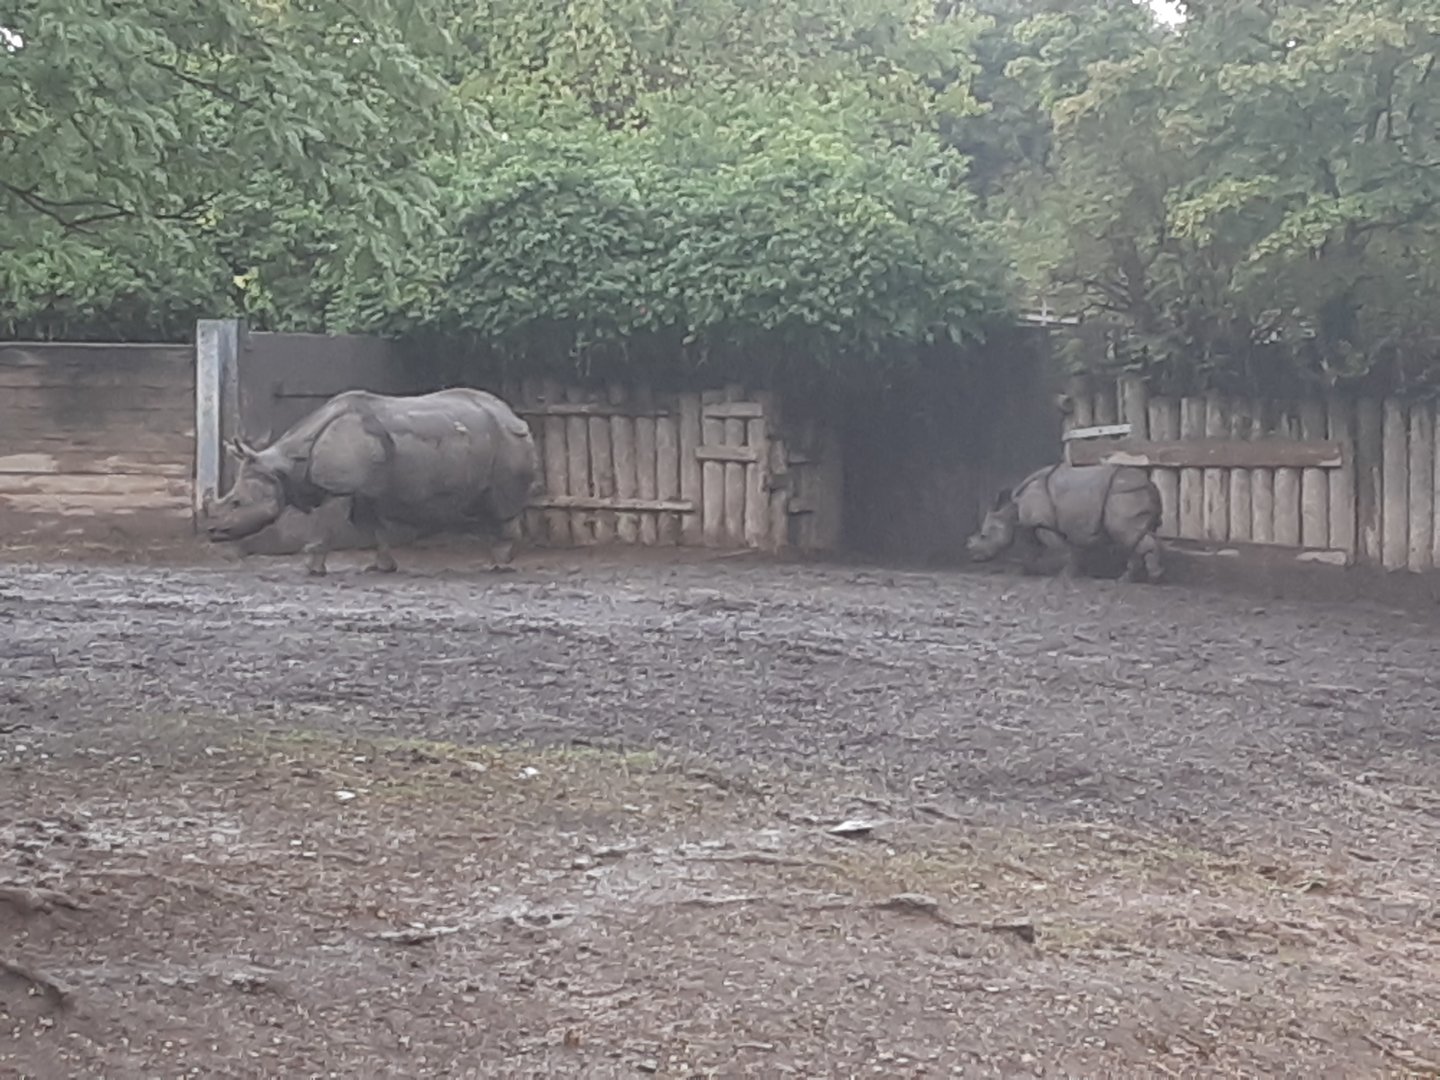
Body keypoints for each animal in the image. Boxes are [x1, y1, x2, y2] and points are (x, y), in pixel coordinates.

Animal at [204, 387, 538, 575]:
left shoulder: (339, 488)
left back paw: (499, 565)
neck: (283, 464)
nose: (210, 531)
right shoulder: (361, 493)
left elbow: (325, 525)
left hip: (509, 441)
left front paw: (312, 569)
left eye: (237, 503)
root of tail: (514, 414)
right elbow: (372, 528)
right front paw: (382, 567)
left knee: (501, 505)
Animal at [966, 462, 1164, 582]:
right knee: (1134, 537)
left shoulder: (1043, 525)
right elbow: (1032, 550)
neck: (1013, 509)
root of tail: (1151, 484)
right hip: (1129, 493)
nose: (974, 557)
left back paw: (1151, 578)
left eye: (984, 536)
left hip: (1123, 494)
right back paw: (1127, 579)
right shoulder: (1032, 526)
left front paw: (1066, 575)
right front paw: (1019, 572)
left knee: (1126, 534)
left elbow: (1063, 549)